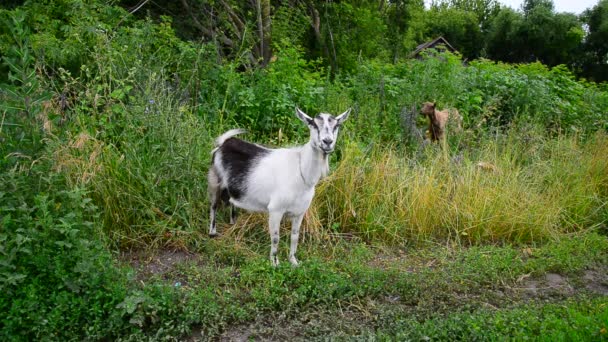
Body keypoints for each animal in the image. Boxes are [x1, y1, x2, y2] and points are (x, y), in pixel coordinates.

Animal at [209, 108, 352, 266]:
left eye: (337, 125)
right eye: (313, 124)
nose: (327, 142)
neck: (300, 170)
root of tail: (224, 143)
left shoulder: (300, 212)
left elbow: (295, 236)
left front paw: (294, 261)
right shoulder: (276, 209)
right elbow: (276, 237)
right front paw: (275, 263)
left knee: (232, 202)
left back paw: (233, 224)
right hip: (215, 180)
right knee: (213, 206)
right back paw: (212, 233)